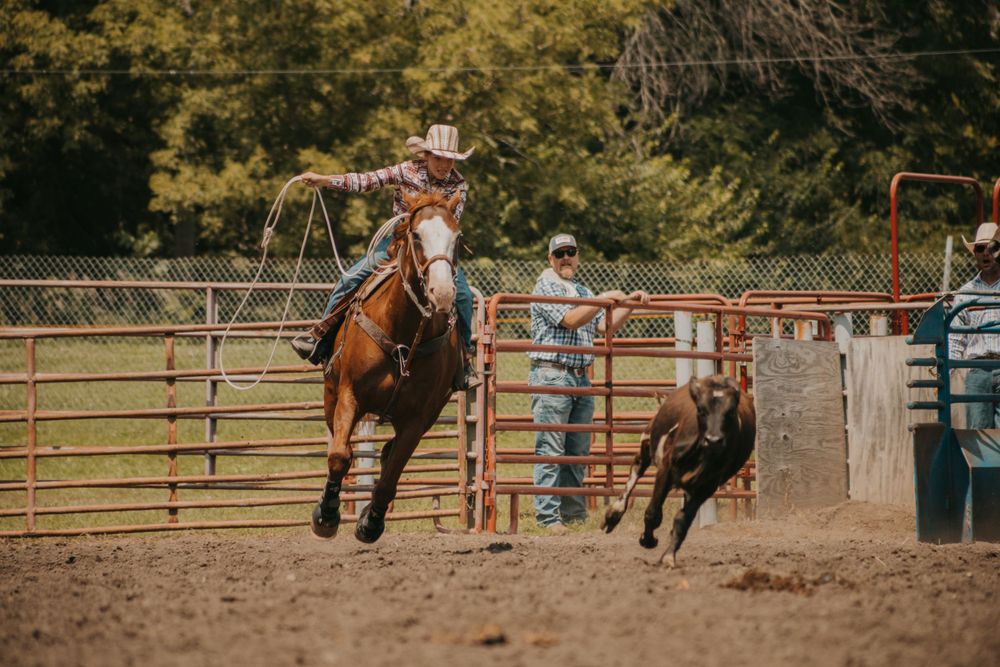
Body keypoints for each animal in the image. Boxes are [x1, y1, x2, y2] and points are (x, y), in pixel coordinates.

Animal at [601, 374, 756, 567]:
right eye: (701, 410)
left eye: (730, 412)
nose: (713, 440)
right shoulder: (665, 470)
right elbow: (653, 513)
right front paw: (648, 540)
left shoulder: (707, 486)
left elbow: (682, 520)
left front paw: (668, 555)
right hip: (647, 440)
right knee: (637, 468)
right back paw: (614, 514)